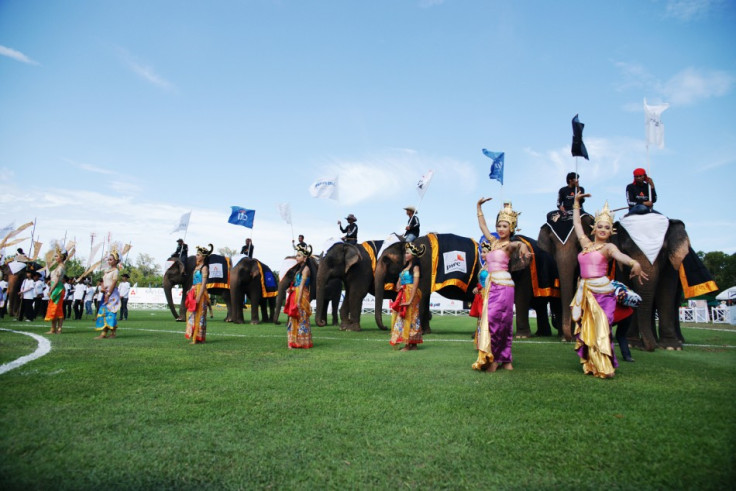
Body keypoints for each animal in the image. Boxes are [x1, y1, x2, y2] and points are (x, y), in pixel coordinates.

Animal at [608, 217, 720, 352]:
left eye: (662, 251)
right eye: (626, 251)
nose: (649, 348)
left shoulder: (671, 263)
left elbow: (666, 292)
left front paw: (671, 346)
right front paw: (633, 344)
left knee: (674, 302)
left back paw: (676, 341)